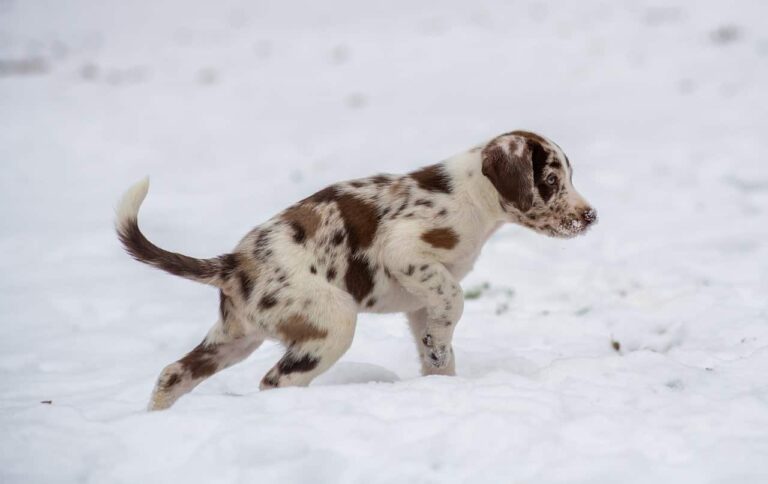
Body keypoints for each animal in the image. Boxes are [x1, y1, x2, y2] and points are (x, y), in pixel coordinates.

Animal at [114, 130, 596, 410]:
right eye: (551, 181)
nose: (591, 217)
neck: (472, 196)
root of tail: (233, 264)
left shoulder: (420, 302)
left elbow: (437, 344)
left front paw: (441, 376)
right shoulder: (405, 251)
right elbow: (455, 301)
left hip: (235, 338)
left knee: (173, 373)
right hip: (332, 324)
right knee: (274, 382)